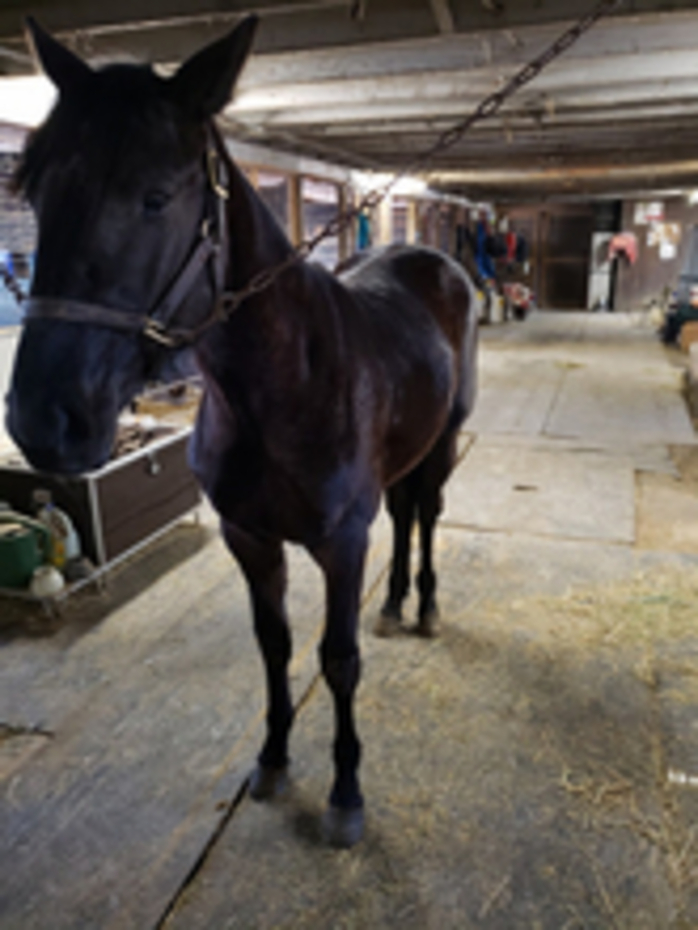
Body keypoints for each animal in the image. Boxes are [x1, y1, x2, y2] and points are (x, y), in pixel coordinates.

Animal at [6, 16, 477, 847]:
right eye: (32, 188)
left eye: (156, 197)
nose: (43, 419)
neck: (284, 386)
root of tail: (434, 260)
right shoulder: (249, 539)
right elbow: (276, 646)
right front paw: (273, 758)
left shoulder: (341, 542)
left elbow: (338, 658)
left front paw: (346, 794)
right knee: (403, 515)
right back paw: (393, 603)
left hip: (443, 446)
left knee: (425, 515)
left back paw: (421, 606)